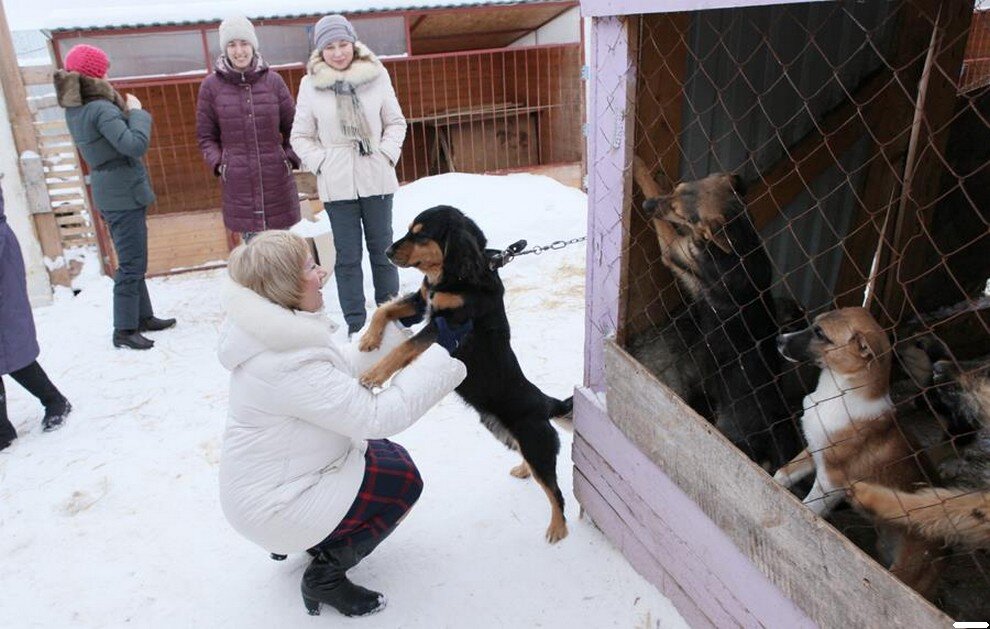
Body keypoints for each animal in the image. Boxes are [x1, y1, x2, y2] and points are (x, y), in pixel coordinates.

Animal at [356, 204, 572, 544]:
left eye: (421, 234)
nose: (388, 252)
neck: (457, 276)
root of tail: (547, 402)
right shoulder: (422, 302)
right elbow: (384, 309)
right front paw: (369, 339)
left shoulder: (448, 323)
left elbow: (404, 348)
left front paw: (375, 374)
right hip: (508, 436)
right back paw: (523, 470)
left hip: (537, 444)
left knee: (555, 491)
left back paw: (558, 528)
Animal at [636, 161, 808, 466]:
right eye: (677, 188)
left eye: (680, 212)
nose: (646, 205)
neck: (738, 240)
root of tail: (773, 423)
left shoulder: (676, 251)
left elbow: (659, 213)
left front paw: (635, 168)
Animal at [776, 308, 944, 600]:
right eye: (813, 324)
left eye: (820, 333)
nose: (778, 340)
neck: (838, 391)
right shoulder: (813, 449)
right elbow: (782, 474)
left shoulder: (831, 481)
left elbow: (807, 508)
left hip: (907, 573)